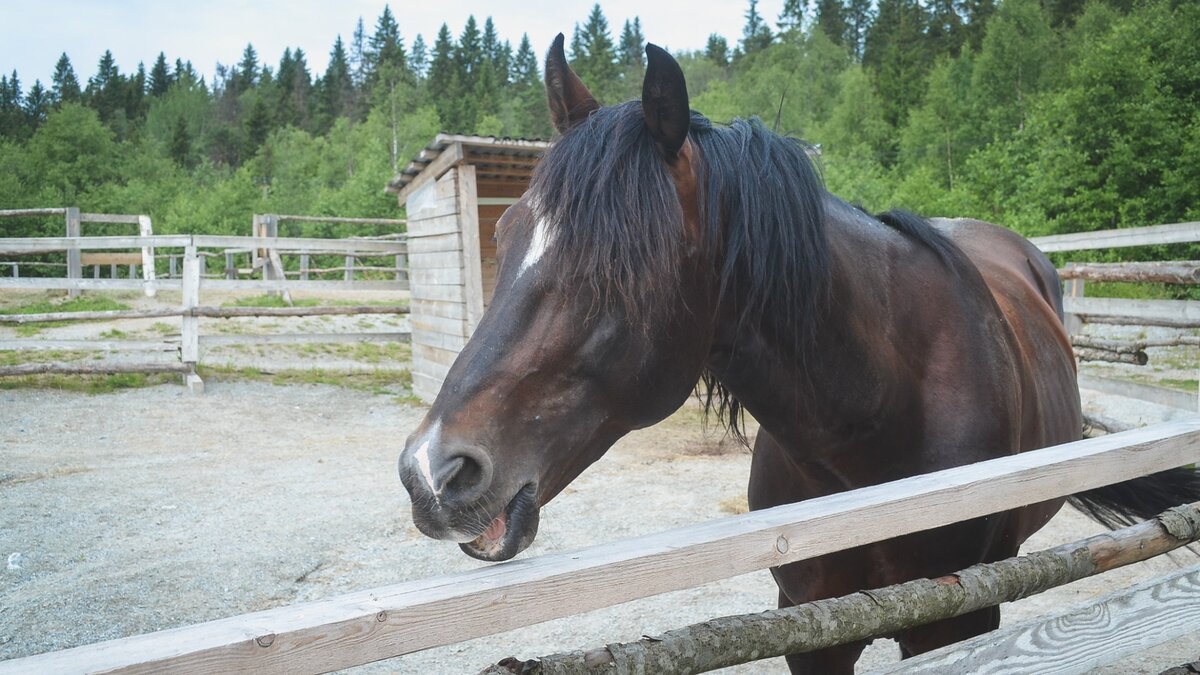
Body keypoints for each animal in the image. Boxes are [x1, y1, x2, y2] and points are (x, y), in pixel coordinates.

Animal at [396, 35, 1200, 667]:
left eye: (618, 269)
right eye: (504, 236)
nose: (431, 472)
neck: (878, 423)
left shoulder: (958, 619)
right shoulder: (811, 624)